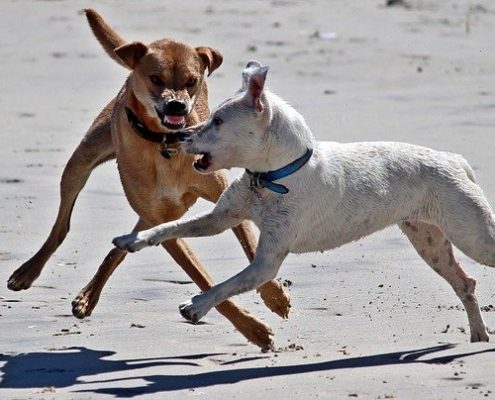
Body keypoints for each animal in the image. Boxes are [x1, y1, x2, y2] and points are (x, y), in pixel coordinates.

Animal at [6, 7, 290, 348]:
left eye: (192, 81)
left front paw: (274, 295)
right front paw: (253, 329)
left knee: (122, 242)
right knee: (62, 225)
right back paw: (29, 272)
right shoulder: (162, 222)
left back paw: (89, 294)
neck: (166, 145)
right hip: (82, 161)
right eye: (155, 79)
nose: (177, 105)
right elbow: (202, 278)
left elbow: (249, 246)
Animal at [113, 61, 495, 342]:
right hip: (429, 242)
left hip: (472, 236)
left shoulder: (266, 263)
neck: (273, 177)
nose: (179, 135)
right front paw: (134, 239)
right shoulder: (222, 218)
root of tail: (454, 159)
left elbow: (228, 285)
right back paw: (478, 336)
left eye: (218, 121)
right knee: (465, 283)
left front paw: (197, 306)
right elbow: (170, 226)